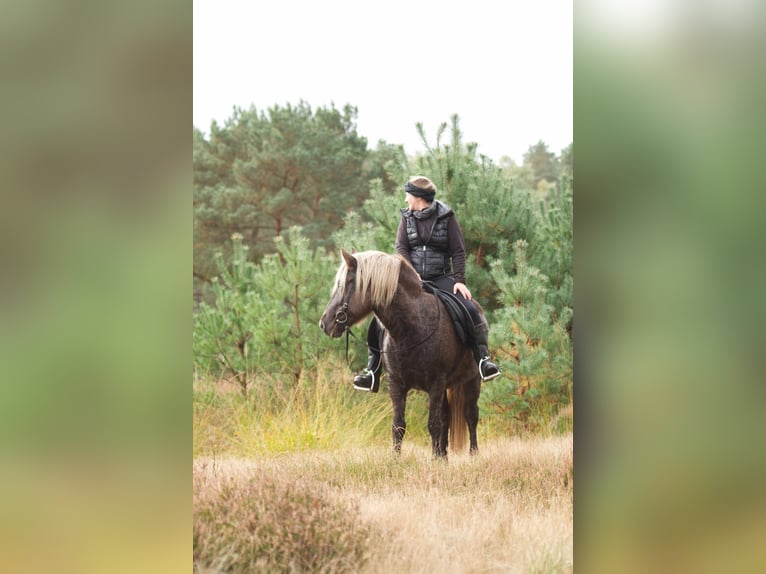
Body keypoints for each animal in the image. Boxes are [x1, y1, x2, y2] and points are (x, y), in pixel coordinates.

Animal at [320, 250, 484, 462]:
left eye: (346, 283)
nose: (324, 323)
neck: (411, 328)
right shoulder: (396, 384)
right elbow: (399, 425)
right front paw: (396, 460)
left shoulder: (436, 383)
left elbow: (433, 424)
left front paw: (434, 461)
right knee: (447, 417)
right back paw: (443, 456)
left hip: (472, 379)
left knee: (471, 415)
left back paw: (473, 454)